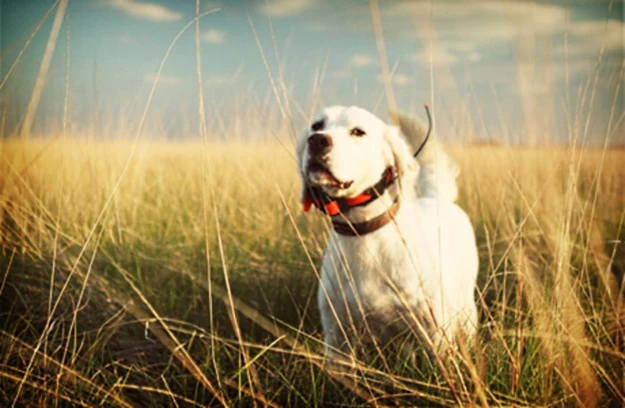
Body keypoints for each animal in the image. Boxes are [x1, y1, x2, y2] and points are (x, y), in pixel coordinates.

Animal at [296, 106, 478, 364]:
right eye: (317, 125)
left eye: (358, 132)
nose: (317, 140)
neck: (363, 235)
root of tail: (436, 197)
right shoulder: (337, 337)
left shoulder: (436, 332)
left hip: (467, 311)